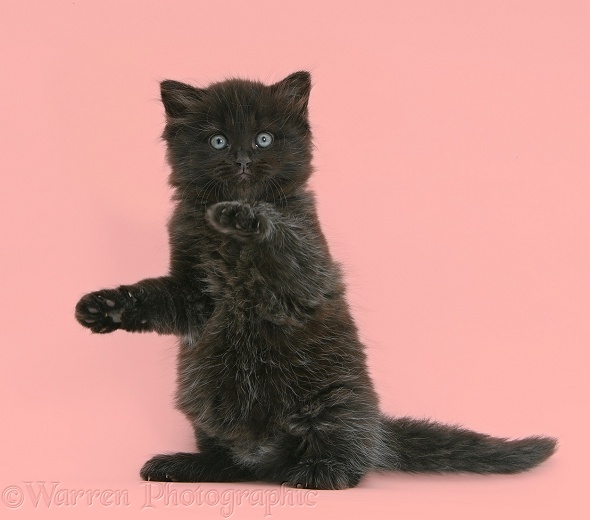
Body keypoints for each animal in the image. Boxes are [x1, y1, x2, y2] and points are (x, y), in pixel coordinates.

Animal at [76, 70, 556, 488]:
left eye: (264, 138)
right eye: (218, 140)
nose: (242, 159)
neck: (228, 248)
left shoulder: (307, 266)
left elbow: (280, 239)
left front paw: (245, 216)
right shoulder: (193, 293)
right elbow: (155, 296)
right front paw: (104, 307)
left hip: (333, 395)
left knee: (348, 454)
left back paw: (321, 472)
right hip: (204, 401)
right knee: (235, 466)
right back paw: (185, 465)